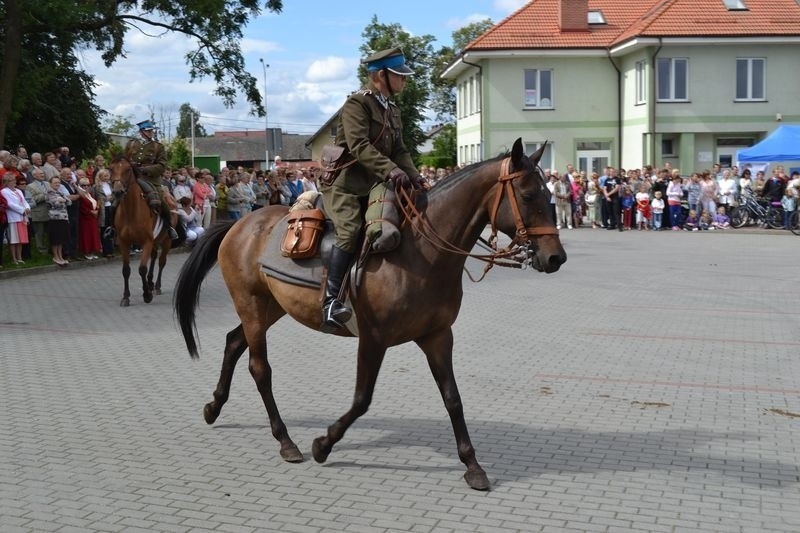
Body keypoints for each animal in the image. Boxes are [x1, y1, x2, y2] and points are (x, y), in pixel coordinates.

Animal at [109, 154, 173, 306]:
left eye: (127, 169)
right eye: (111, 169)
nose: (118, 192)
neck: (131, 212)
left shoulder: (147, 242)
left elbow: (142, 269)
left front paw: (146, 295)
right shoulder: (123, 242)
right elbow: (126, 270)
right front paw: (126, 297)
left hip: (166, 241)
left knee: (161, 262)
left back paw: (156, 286)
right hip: (155, 241)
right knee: (154, 257)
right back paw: (150, 283)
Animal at [173, 139, 568, 488]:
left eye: (548, 195)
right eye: (528, 195)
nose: (555, 258)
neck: (421, 253)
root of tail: (240, 225)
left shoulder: (438, 336)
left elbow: (453, 399)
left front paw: (472, 465)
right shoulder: (374, 339)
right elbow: (362, 399)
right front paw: (323, 444)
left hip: (270, 308)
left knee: (233, 342)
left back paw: (214, 407)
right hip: (253, 305)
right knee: (260, 369)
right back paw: (286, 441)